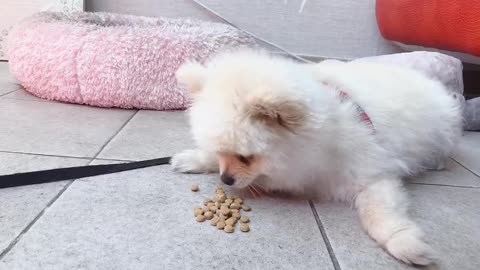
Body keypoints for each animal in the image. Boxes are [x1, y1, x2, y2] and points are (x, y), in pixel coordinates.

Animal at [171, 49, 464, 264]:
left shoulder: (371, 174)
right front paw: (193, 159)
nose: (226, 180)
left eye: (246, 157)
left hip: (446, 129)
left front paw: (403, 242)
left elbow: (378, 212)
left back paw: (437, 163)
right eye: (221, 153)